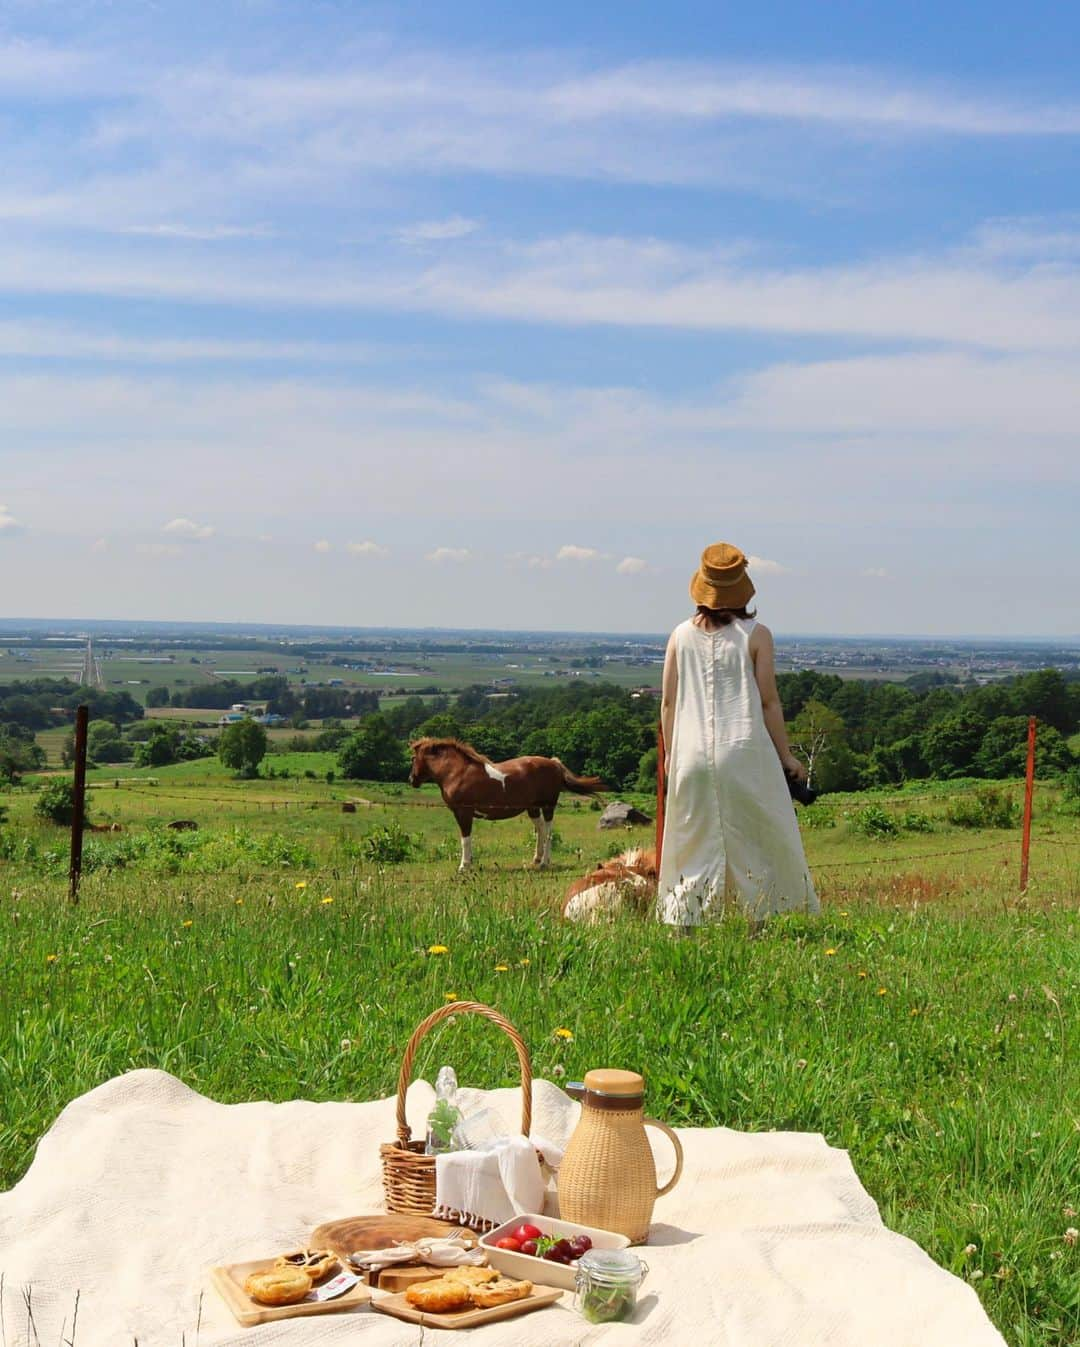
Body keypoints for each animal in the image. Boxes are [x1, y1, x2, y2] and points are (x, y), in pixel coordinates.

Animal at [406, 738, 600, 872]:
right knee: (541, 830)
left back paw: (544, 862)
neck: (457, 772)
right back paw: (536, 859)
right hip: (533, 808)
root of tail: (554, 763)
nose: (411, 780)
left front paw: (464, 866)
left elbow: (465, 839)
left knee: (548, 832)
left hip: (548, 806)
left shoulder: (463, 813)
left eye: (413, 758)